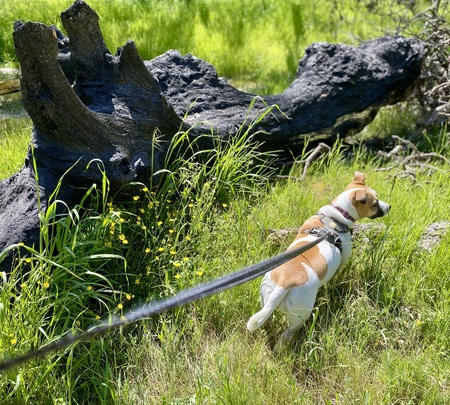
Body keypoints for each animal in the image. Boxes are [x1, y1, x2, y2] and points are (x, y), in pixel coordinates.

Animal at [246, 172, 390, 340]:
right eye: (375, 203)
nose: (389, 206)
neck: (337, 216)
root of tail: (284, 283)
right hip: (301, 314)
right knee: (287, 333)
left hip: (265, 299)